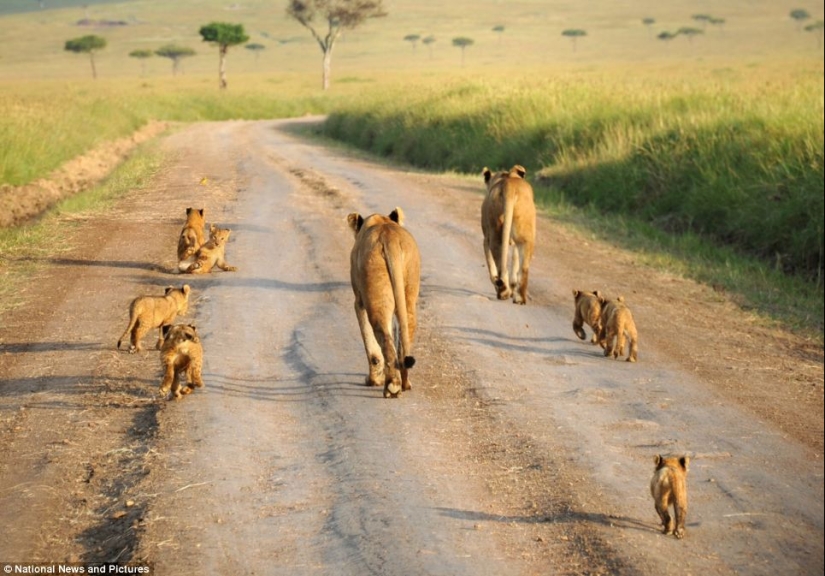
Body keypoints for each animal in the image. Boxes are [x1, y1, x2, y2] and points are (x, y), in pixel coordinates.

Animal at [347, 207, 420, 398]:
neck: (380, 220)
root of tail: (389, 237)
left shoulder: (359, 301)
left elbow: (370, 343)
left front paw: (373, 380)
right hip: (408, 291)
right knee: (404, 336)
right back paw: (405, 383)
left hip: (376, 293)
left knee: (384, 339)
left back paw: (392, 386)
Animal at [481, 164, 536, 304]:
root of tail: (509, 186)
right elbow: (515, 262)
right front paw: (512, 285)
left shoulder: (485, 239)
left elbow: (491, 266)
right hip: (524, 234)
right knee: (524, 267)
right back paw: (519, 297)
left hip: (495, 232)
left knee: (501, 265)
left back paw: (503, 291)